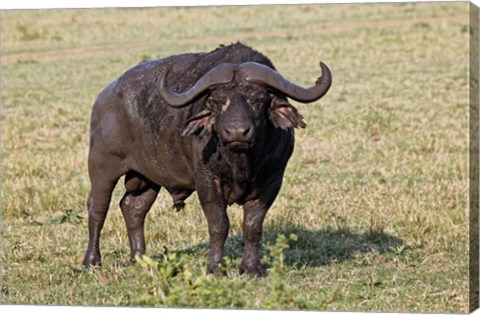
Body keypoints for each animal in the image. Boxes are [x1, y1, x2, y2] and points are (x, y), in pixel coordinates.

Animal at [83, 42, 330, 276]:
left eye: (258, 98)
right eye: (216, 101)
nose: (237, 132)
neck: (240, 160)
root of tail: (103, 97)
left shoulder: (272, 180)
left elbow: (252, 226)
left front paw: (252, 269)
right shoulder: (207, 181)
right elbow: (219, 226)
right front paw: (216, 268)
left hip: (147, 178)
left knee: (133, 209)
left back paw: (140, 260)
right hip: (102, 167)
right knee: (98, 207)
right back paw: (92, 261)